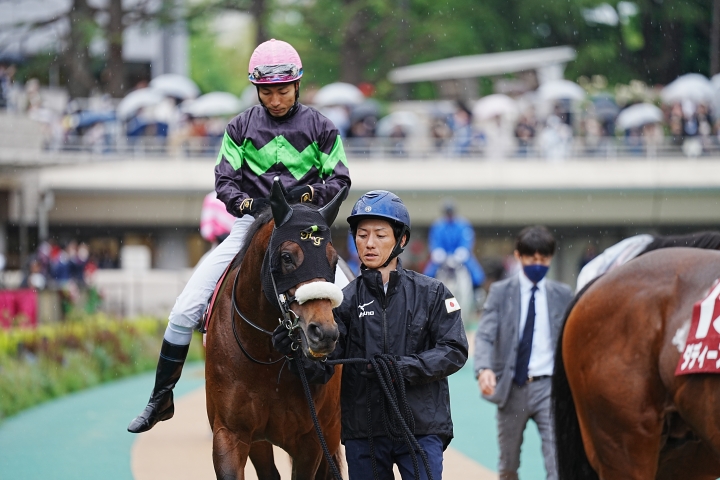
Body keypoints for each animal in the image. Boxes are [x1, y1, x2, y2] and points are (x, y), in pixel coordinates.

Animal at [205, 181, 346, 480]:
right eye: (287, 257)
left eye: (333, 260)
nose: (324, 333)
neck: (264, 356)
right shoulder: (230, 433)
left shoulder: (311, 440)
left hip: (331, 430)